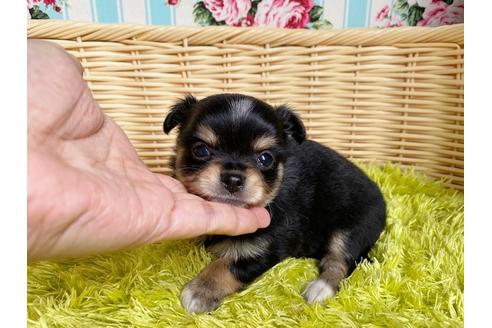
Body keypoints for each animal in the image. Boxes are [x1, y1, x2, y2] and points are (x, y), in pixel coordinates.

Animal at [163, 93, 386, 314]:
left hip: (352, 228)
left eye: (265, 158)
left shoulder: (268, 248)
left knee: (340, 260)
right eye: (200, 150)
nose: (233, 179)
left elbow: (227, 266)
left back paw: (321, 288)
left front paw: (200, 291)